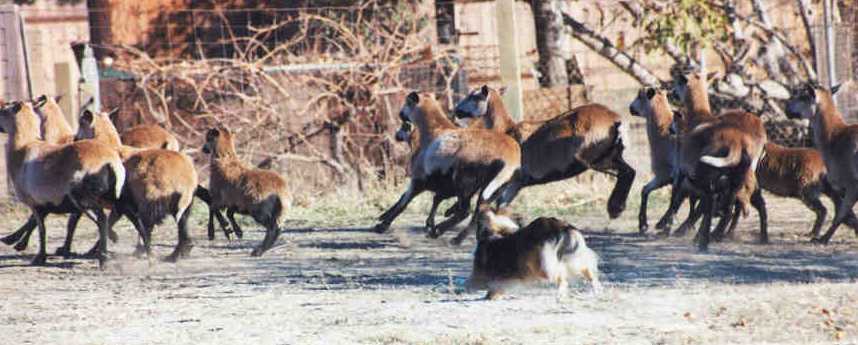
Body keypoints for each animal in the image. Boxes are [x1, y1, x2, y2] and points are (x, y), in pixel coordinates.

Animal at [202, 126, 290, 255]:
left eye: (208, 138)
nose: (203, 149)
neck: (224, 159)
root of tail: (281, 189)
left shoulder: (219, 197)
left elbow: (212, 208)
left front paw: (212, 233)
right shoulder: (235, 202)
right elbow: (228, 213)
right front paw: (237, 232)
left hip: (259, 209)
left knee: (273, 228)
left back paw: (258, 251)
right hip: (278, 210)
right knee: (277, 227)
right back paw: (260, 249)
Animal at [464, 206, 600, 300]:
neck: (494, 232)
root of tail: (562, 227)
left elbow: (490, 283)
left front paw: (492, 295)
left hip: (542, 266)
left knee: (561, 277)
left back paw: (560, 293)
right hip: (572, 257)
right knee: (587, 271)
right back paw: (597, 289)